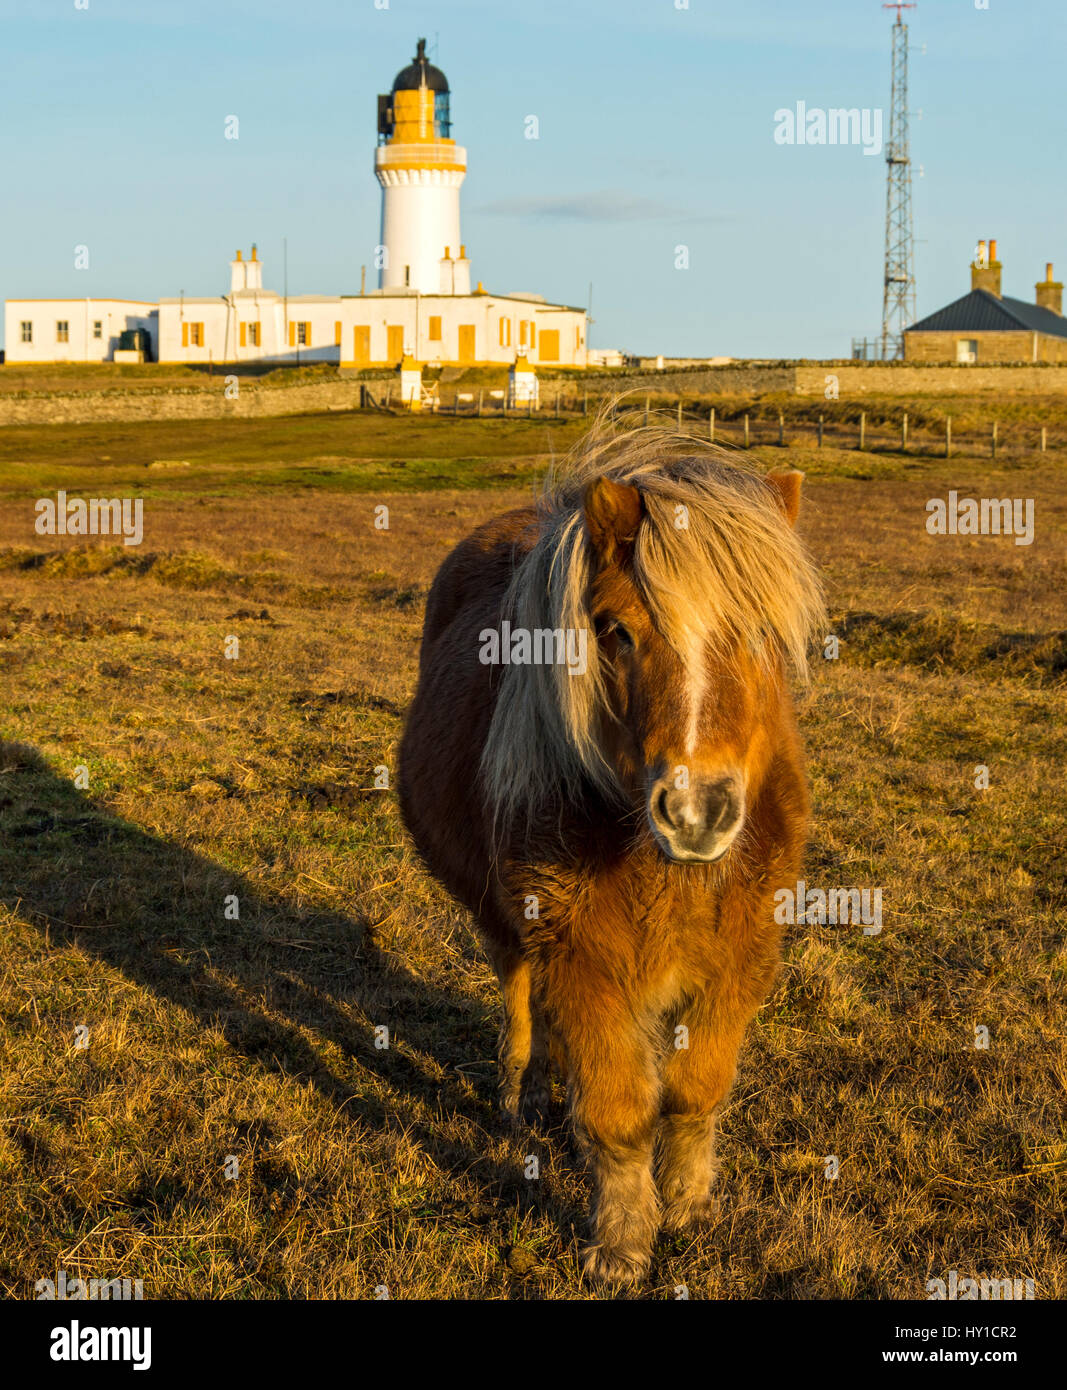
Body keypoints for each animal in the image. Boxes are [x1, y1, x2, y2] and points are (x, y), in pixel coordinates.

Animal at [398, 422, 824, 1286]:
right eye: (616, 632)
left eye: (764, 634)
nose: (696, 812)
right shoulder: (581, 956)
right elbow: (619, 1110)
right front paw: (623, 1242)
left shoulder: (740, 959)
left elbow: (694, 1091)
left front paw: (689, 1205)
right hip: (506, 923)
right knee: (521, 999)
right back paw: (523, 1096)